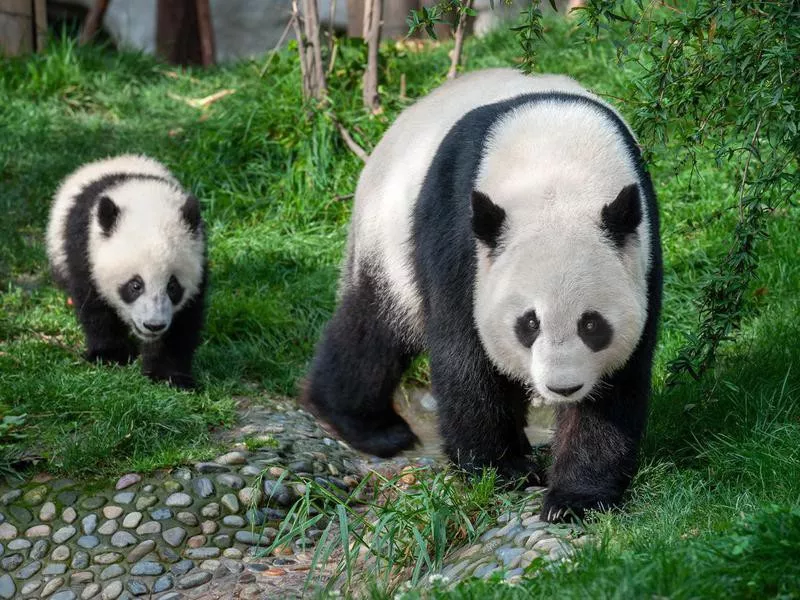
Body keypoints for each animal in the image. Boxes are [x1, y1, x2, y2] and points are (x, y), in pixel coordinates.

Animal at [46, 155, 206, 390]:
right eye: (135, 285)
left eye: (172, 286)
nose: (153, 325)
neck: (146, 203)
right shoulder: (84, 250)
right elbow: (94, 306)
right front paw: (110, 355)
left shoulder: (199, 261)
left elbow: (183, 323)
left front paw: (168, 376)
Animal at [304, 69, 664, 520]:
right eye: (529, 323)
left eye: (592, 325)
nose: (562, 387)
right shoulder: (459, 229)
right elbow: (465, 352)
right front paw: (501, 469)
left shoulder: (641, 251)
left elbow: (615, 383)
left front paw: (575, 498)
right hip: (387, 233)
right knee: (373, 329)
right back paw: (365, 424)